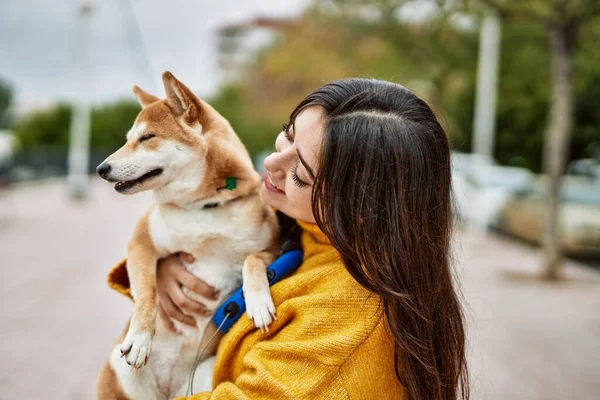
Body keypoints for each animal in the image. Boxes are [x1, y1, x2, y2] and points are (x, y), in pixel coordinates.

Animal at [95, 72, 278, 400]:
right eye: (128, 139)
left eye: (147, 137)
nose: (101, 168)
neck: (204, 206)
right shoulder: (141, 243)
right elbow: (148, 294)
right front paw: (139, 339)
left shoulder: (274, 244)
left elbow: (252, 260)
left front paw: (258, 302)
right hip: (122, 371)